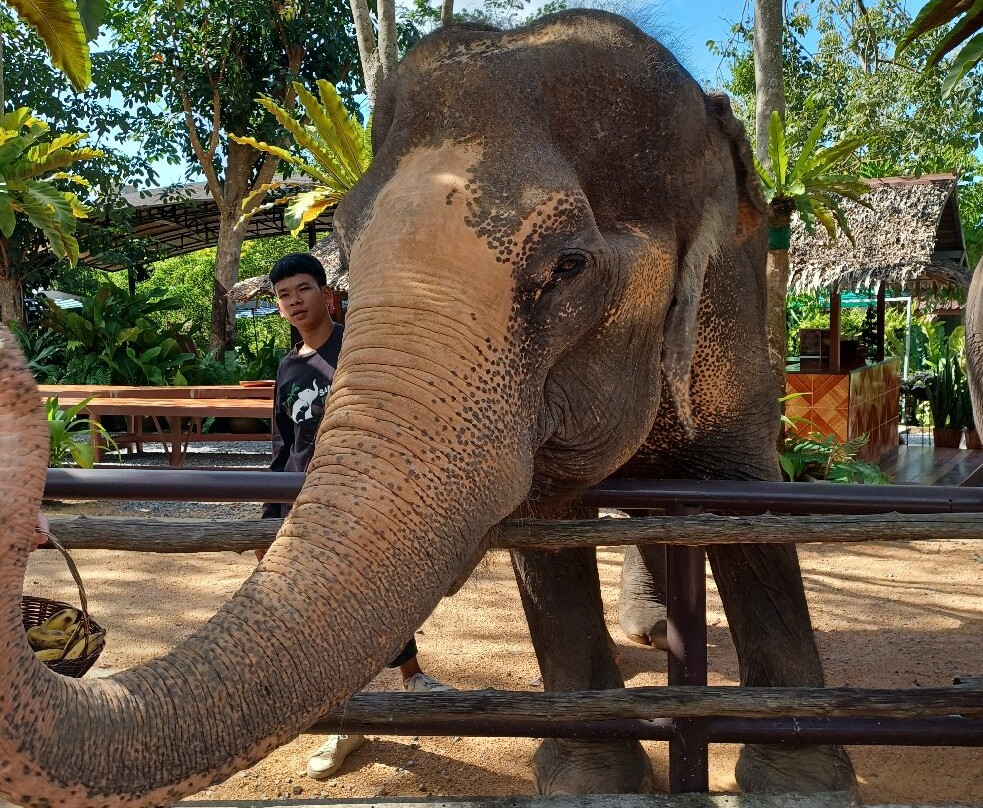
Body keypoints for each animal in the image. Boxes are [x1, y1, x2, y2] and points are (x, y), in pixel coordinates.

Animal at [0, 10, 857, 806]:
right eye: (344, 250)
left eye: (569, 266)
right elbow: (546, 532)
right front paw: (592, 782)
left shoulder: (733, 305)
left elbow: (745, 503)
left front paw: (800, 785)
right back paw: (646, 628)